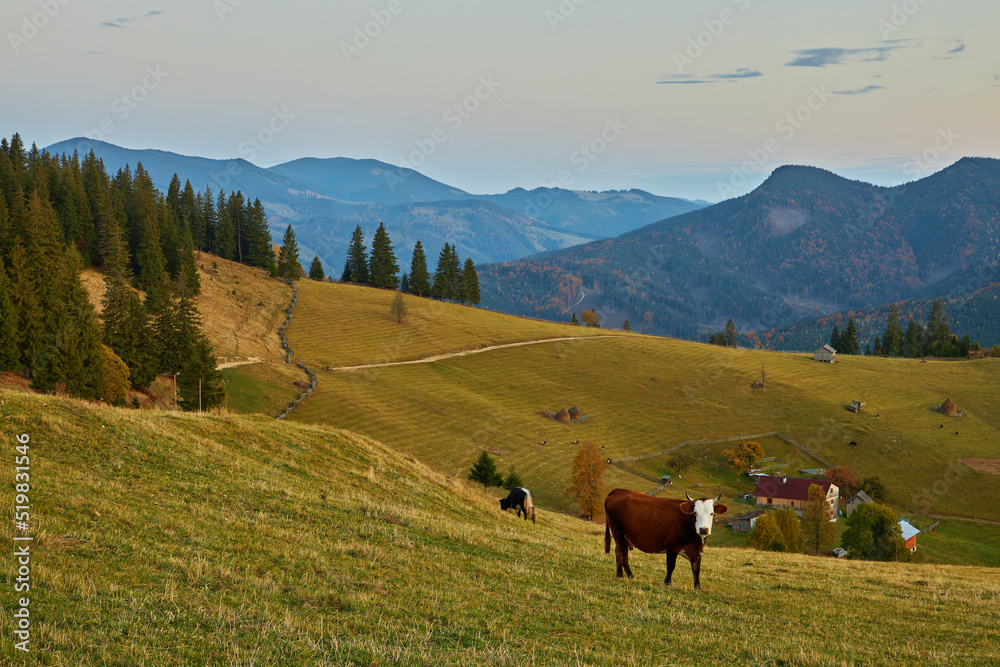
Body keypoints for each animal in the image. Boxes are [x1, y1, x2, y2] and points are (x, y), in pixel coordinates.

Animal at [600, 486, 728, 588]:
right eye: (694, 513)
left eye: (712, 513)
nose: (703, 529)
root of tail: (619, 490)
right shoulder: (671, 546)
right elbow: (671, 566)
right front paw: (667, 583)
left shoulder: (698, 551)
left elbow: (696, 569)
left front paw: (698, 587)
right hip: (617, 530)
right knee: (624, 553)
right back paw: (630, 575)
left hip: (621, 535)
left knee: (618, 551)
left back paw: (619, 575)